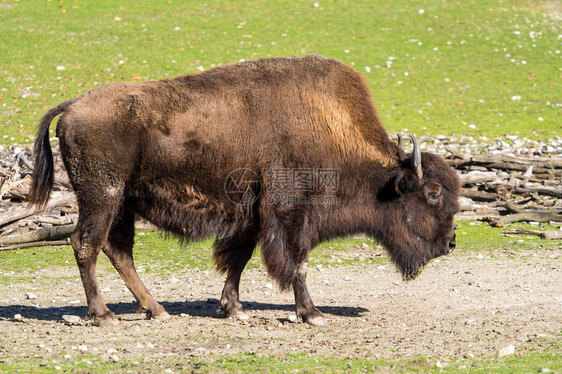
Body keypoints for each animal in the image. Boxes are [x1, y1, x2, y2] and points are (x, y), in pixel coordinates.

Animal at [28, 54, 460, 326]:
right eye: (433, 193)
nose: (451, 243)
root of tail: (73, 105)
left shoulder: (251, 217)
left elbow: (238, 259)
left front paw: (233, 309)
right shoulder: (291, 215)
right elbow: (297, 263)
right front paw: (313, 314)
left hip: (123, 204)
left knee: (118, 250)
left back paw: (156, 309)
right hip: (102, 197)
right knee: (86, 244)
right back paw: (103, 315)